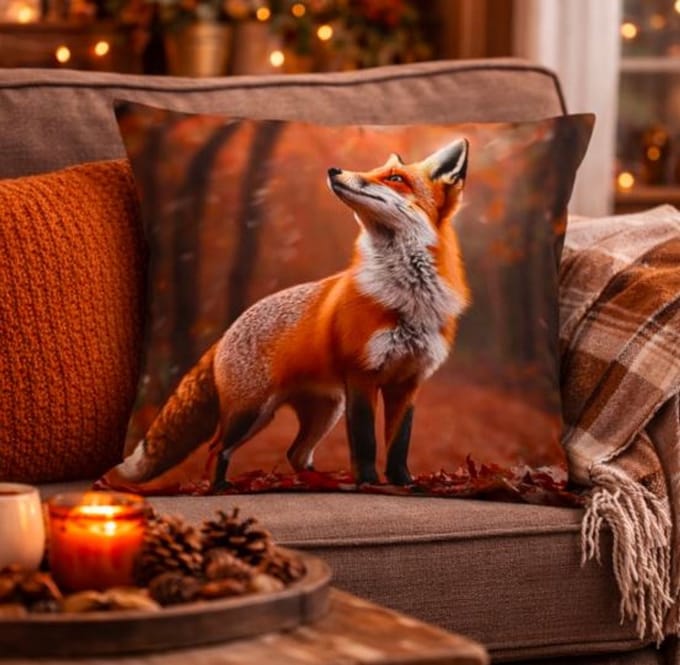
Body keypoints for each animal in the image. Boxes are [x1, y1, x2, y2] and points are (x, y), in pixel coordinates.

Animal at [111, 137, 471, 491]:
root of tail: (227, 331)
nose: (334, 170)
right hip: (251, 413)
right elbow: (366, 442)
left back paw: (322, 483)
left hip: (324, 413)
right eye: (374, 170)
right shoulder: (361, 376)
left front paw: (404, 483)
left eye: (395, 177)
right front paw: (369, 483)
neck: (408, 299)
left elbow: (399, 443)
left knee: (295, 453)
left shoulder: (408, 382)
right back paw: (221, 487)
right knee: (217, 449)